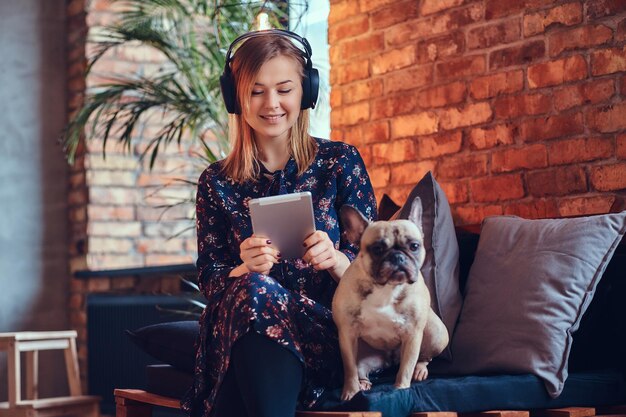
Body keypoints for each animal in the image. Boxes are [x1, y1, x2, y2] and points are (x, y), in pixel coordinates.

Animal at [332, 200, 448, 402]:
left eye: (414, 246)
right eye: (377, 249)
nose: (397, 256)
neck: (386, 287)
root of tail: (390, 360)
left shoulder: (412, 334)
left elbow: (405, 369)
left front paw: (400, 389)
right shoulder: (347, 334)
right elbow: (350, 369)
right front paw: (351, 392)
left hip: (437, 333)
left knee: (424, 357)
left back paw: (420, 369)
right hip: (365, 355)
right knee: (360, 368)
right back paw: (363, 383)